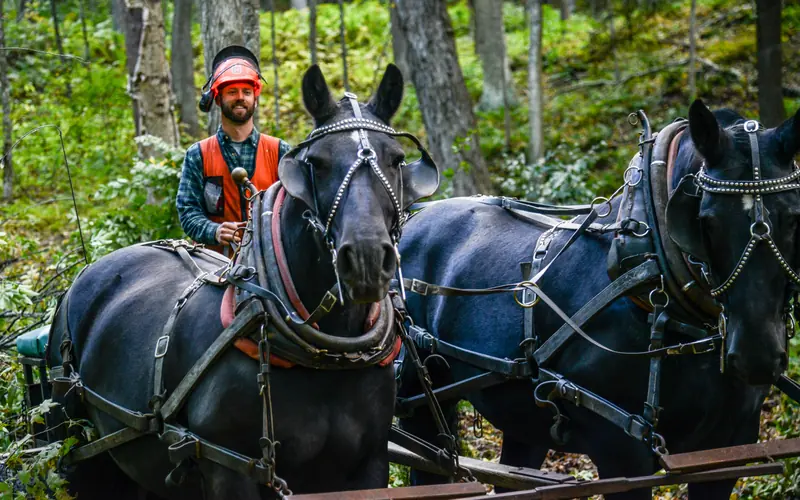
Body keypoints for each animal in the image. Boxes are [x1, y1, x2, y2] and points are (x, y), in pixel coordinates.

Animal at [46, 63, 439, 499]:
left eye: (397, 159)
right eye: (317, 163)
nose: (367, 259)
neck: (326, 359)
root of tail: (84, 276)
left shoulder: (368, 466)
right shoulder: (228, 469)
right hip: (73, 445)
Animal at [396, 100, 800, 499]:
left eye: (794, 216)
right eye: (707, 220)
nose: (756, 354)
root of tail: (411, 219)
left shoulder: (728, 449)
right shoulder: (622, 455)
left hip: (520, 415)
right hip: (419, 401)